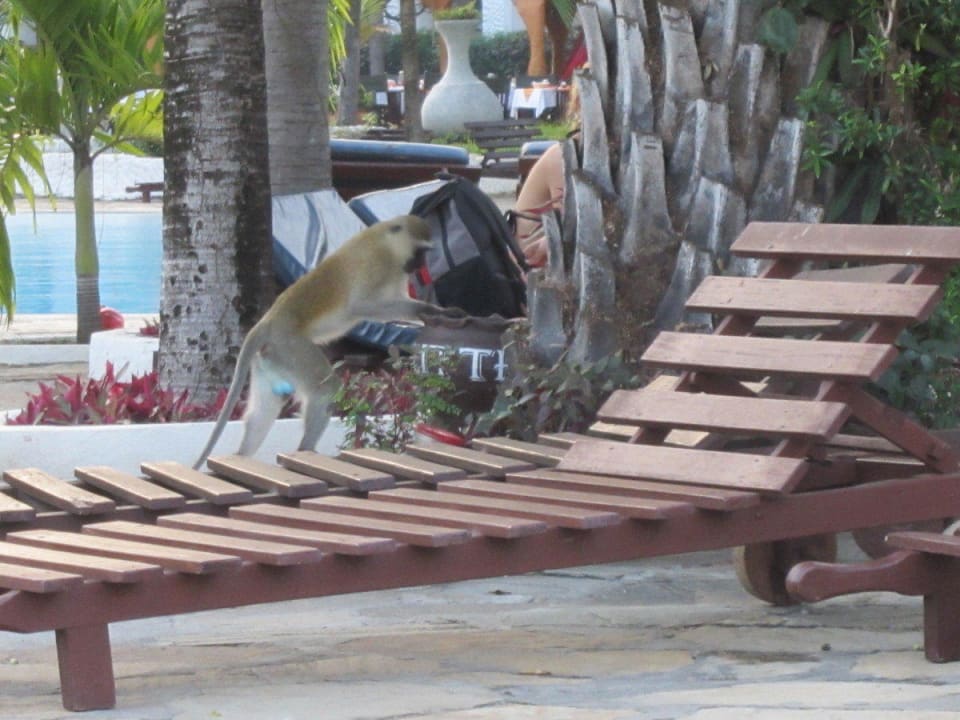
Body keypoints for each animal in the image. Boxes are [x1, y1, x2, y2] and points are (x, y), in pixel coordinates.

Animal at [193, 215, 466, 469]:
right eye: (420, 251)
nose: (420, 265)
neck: (388, 245)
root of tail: (268, 322)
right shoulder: (377, 265)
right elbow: (361, 305)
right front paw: (429, 311)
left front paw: (438, 313)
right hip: (290, 345)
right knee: (325, 389)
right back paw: (305, 450)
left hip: (270, 358)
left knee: (264, 410)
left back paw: (242, 456)